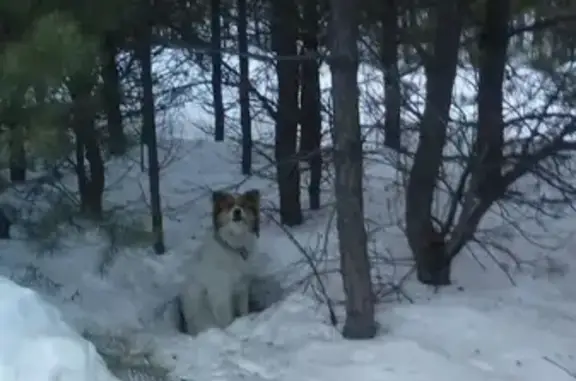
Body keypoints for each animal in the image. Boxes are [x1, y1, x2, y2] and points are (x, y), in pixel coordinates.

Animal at [179, 189, 260, 334]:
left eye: (243, 205)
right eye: (229, 206)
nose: (237, 211)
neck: (233, 246)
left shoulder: (242, 287)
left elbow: (243, 310)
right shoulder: (220, 292)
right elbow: (226, 318)